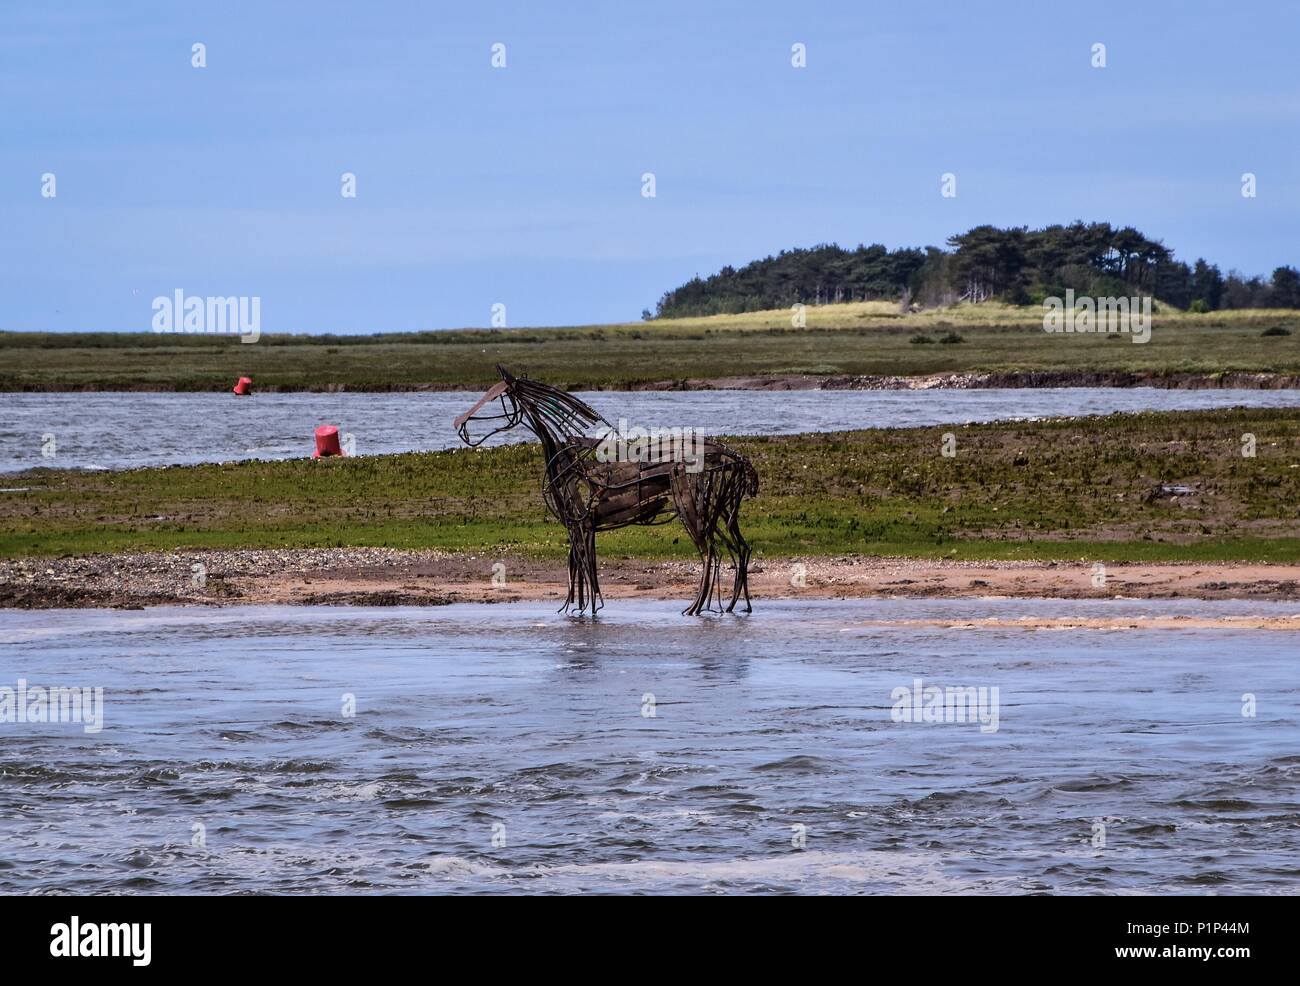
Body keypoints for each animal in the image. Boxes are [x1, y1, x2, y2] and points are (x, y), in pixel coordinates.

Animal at [453, 366, 759, 616]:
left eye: (495, 395)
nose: (459, 424)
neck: (563, 460)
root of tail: (736, 458)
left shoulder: (581, 525)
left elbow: (585, 571)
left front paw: (584, 611)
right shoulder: (579, 527)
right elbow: (578, 569)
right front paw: (574, 610)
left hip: (694, 510)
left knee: (711, 552)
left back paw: (695, 608)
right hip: (720, 511)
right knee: (739, 548)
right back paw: (733, 606)